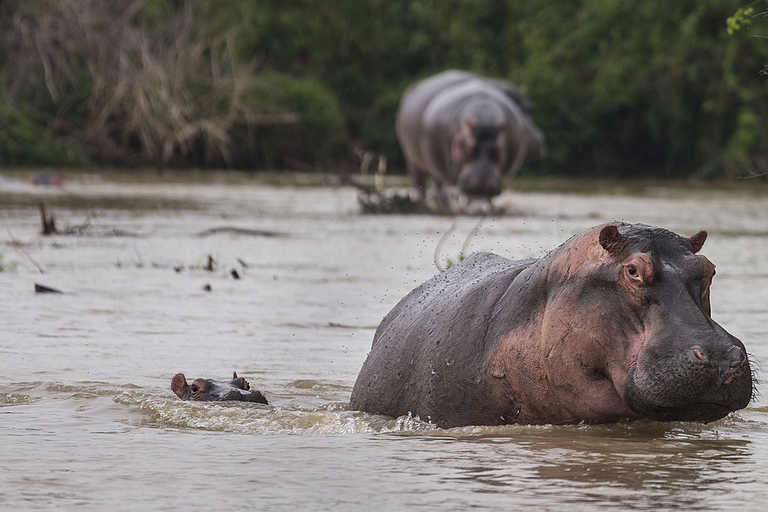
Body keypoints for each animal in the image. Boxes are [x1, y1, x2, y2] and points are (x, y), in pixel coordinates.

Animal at [395, 69, 545, 204]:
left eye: (530, 109)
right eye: (469, 146)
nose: (537, 141)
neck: (484, 117)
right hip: (412, 157)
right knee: (423, 182)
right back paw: (429, 202)